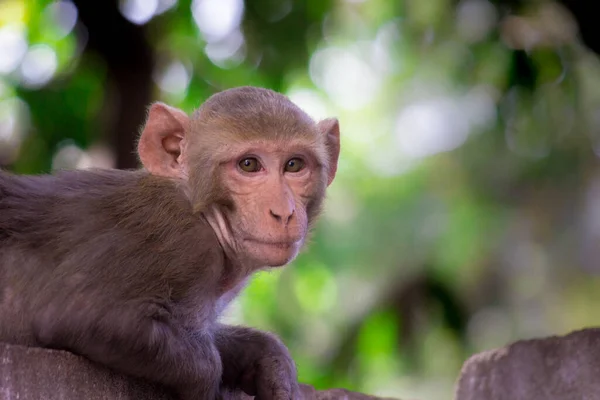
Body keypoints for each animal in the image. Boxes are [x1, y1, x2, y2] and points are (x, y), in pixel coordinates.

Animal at [0, 87, 340, 400]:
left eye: (294, 165)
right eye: (249, 165)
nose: (283, 212)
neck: (203, 214)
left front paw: (267, 358)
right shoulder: (184, 244)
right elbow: (74, 314)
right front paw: (210, 383)